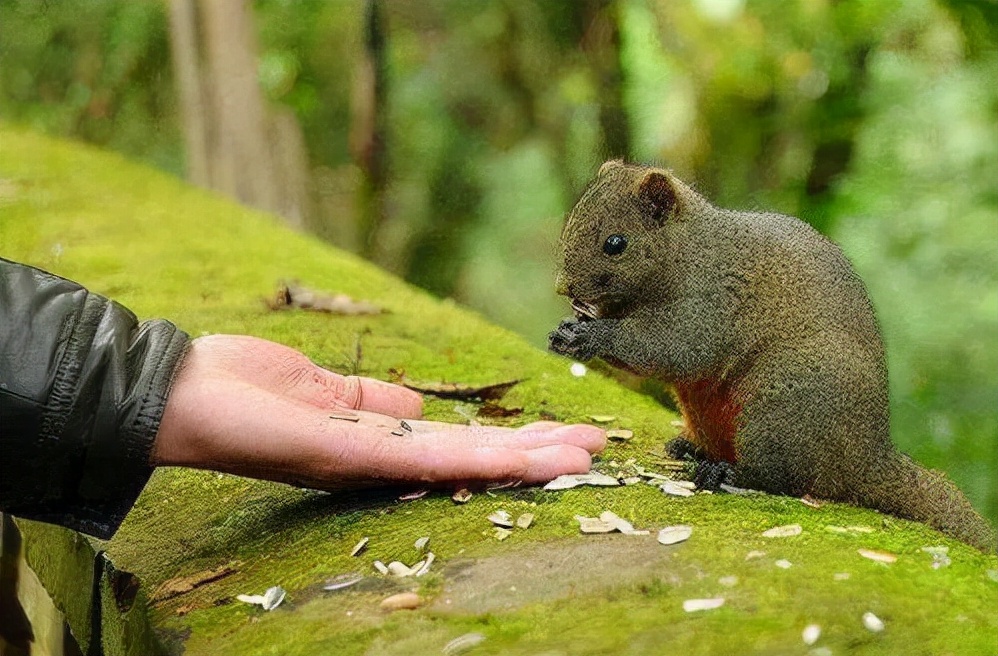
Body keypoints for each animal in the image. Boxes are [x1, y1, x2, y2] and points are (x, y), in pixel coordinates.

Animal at [552, 160, 996, 552]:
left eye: (616, 243)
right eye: (572, 220)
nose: (563, 287)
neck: (688, 250)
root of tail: (865, 457)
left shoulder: (710, 301)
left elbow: (672, 349)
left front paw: (592, 335)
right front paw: (568, 329)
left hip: (781, 405)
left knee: (778, 477)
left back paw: (725, 471)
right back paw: (693, 449)